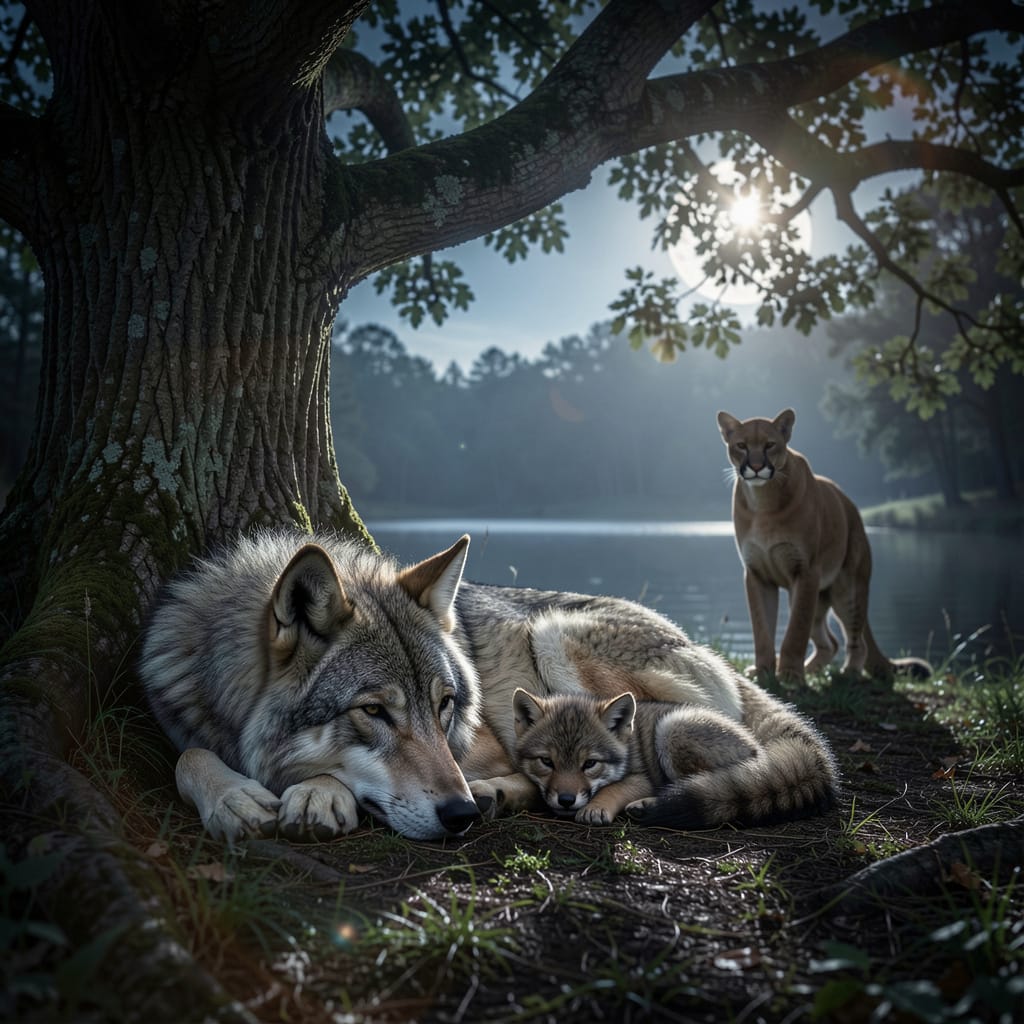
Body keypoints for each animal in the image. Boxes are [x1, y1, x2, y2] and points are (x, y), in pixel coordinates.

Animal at [483, 687, 836, 828]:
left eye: (589, 764)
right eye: (547, 762)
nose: (567, 800)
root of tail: (758, 751)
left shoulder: (642, 776)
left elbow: (615, 788)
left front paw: (597, 807)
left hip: (671, 731)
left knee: (699, 786)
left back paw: (648, 806)